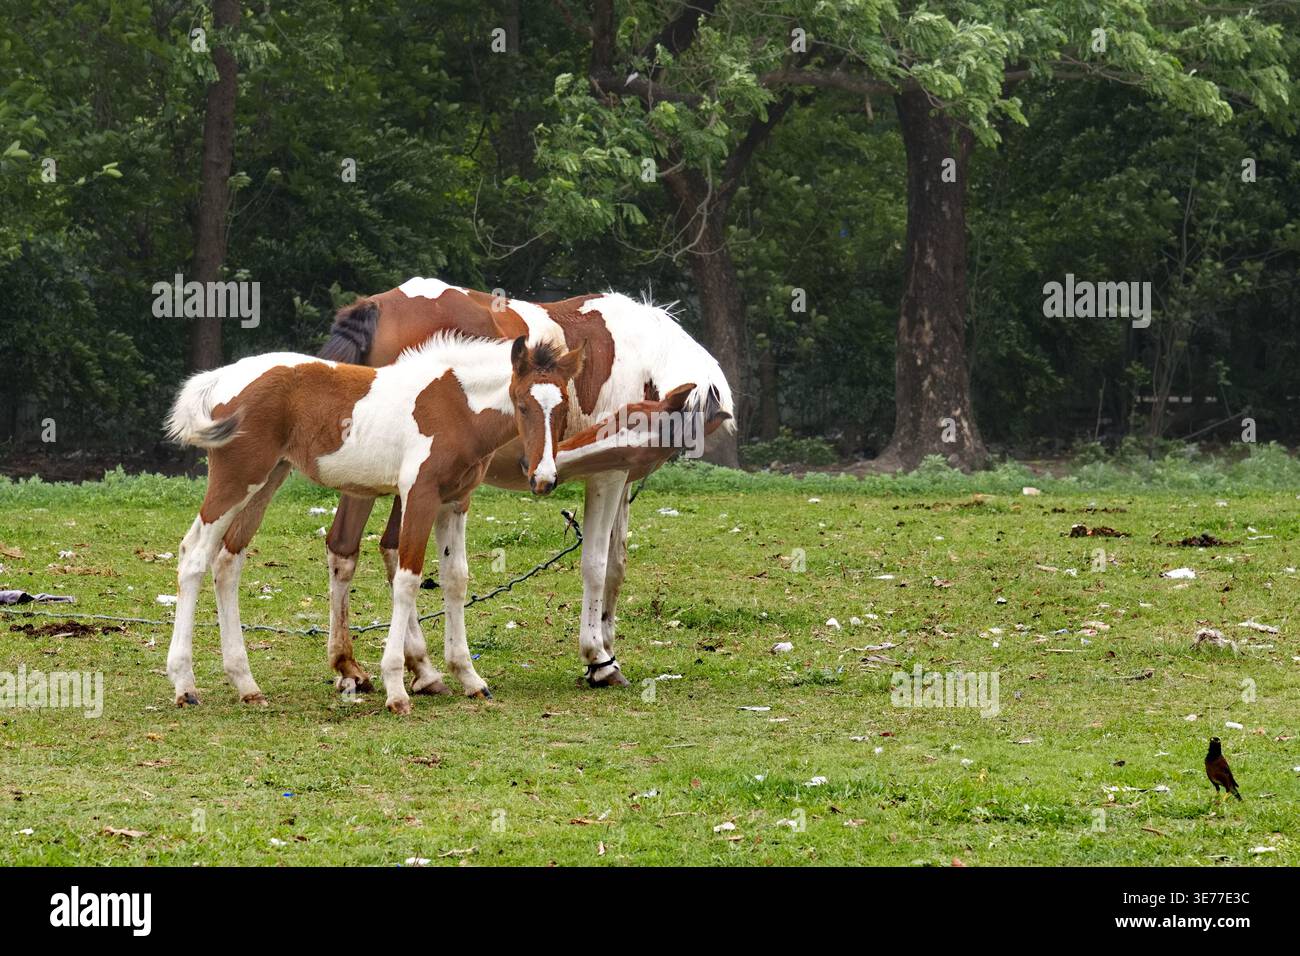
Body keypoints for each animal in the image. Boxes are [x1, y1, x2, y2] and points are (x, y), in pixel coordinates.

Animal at [163, 334, 584, 714]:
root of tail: (220, 378)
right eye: (522, 405)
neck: (456, 407)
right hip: (237, 480)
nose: (544, 478)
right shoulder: (419, 495)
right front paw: (397, 688)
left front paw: (469, 677)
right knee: (194, 556)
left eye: (563, 407)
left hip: (267, 480)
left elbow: (456, 579)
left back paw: (246, 684)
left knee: (227, 562)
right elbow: (407, 580)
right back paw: (185, 685)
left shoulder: (455, 502)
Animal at [313, 278, 734, 692]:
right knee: (390, 549)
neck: (644, 352)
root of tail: (379, 307)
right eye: (623, 424)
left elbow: (616, 565)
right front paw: (598, 658)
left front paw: (607, 650)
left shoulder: (621, 479)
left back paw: (358, 667)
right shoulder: (607, 478)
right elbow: (596, 565)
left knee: (345, 548)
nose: (551, 464)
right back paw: (420, 669)